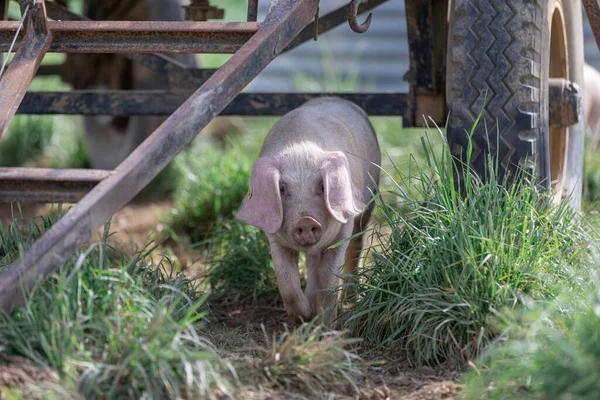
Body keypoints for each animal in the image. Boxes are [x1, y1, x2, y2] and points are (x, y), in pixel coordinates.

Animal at [234, 98, 380, 324]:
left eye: (322, 186)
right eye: (282, 188)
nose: (306, 220)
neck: (300, 148)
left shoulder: (343, 230)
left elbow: (329, 280)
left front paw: (325, 323)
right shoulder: (274, 238)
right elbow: (286, 282)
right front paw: (305, 316)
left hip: (371, 197)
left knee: (357, 245)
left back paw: (350, 299)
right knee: (312, 263)